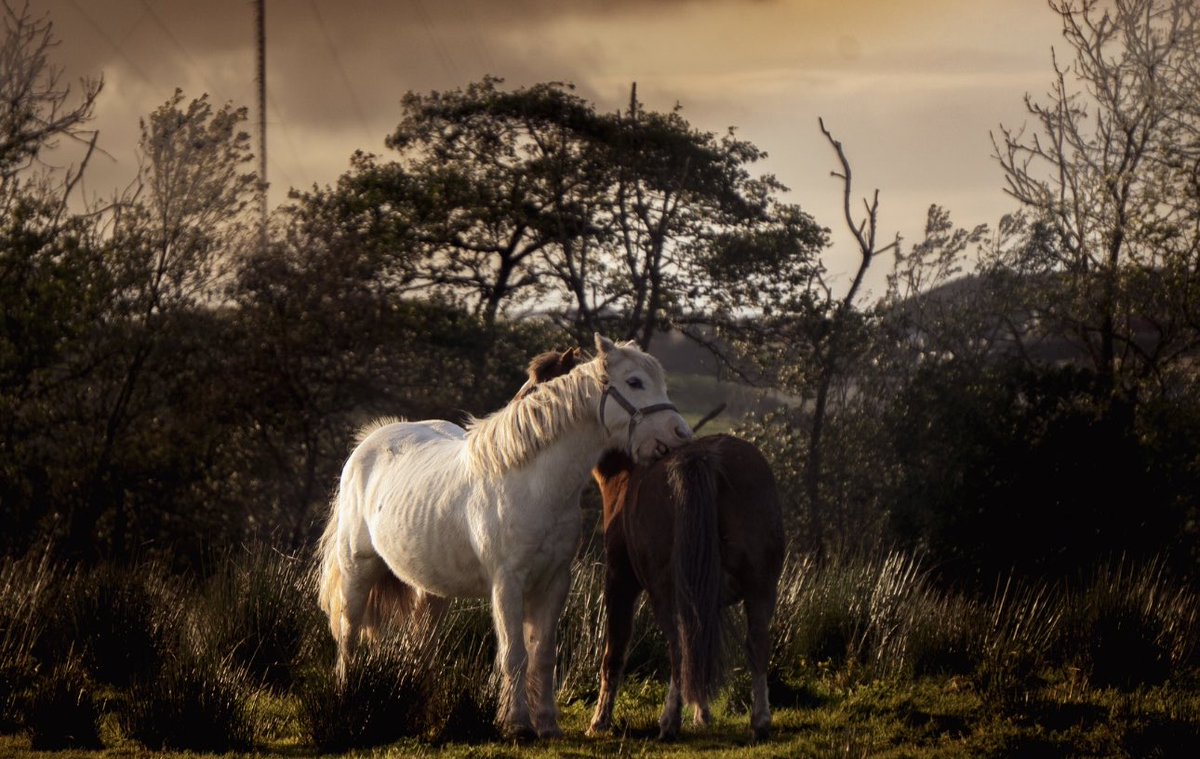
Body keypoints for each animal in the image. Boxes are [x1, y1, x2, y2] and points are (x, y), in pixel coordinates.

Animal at [316, 334, 692, 739]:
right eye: (634, 382)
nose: (681, 434)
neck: (532, 484)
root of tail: (369, 441)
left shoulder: (554, 583)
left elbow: (542, 655)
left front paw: (547, 723)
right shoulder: (507, 583)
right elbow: (514, 655)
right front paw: (517, 725)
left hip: (430, 590)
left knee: (422, 643)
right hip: (357, 569)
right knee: (349, 635)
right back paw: (345, 698)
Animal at [520, 349, 786, 740]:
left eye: (538, 385)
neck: (629, 473)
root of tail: (704, 459)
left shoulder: (619, 583)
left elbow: (614, 654)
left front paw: (600, 720)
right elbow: (702, 646)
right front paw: (702, 713)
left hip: (667, 591)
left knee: (676, 647)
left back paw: (669, 721)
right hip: (760, 586)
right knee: (755, 644)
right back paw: (760, 719)